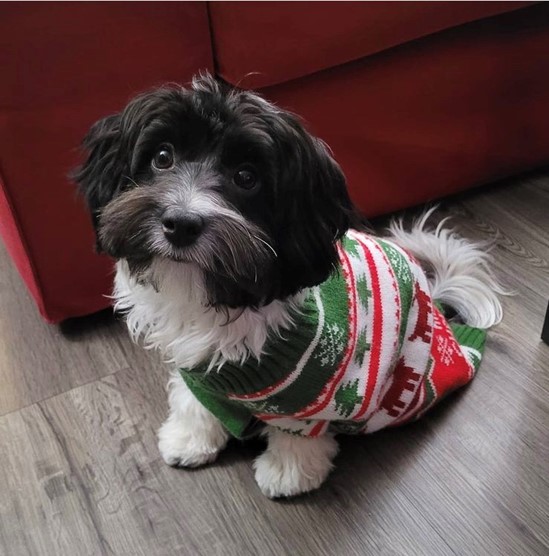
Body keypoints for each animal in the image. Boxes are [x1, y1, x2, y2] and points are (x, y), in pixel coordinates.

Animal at [75, 71, 504, 498]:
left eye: (246, 177)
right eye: (162, 157)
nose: (180, 224)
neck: (217, 295)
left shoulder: (315, 390)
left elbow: (297, 433)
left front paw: (289, 473)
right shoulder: (200, 374)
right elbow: (193, 402)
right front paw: (189, 439)